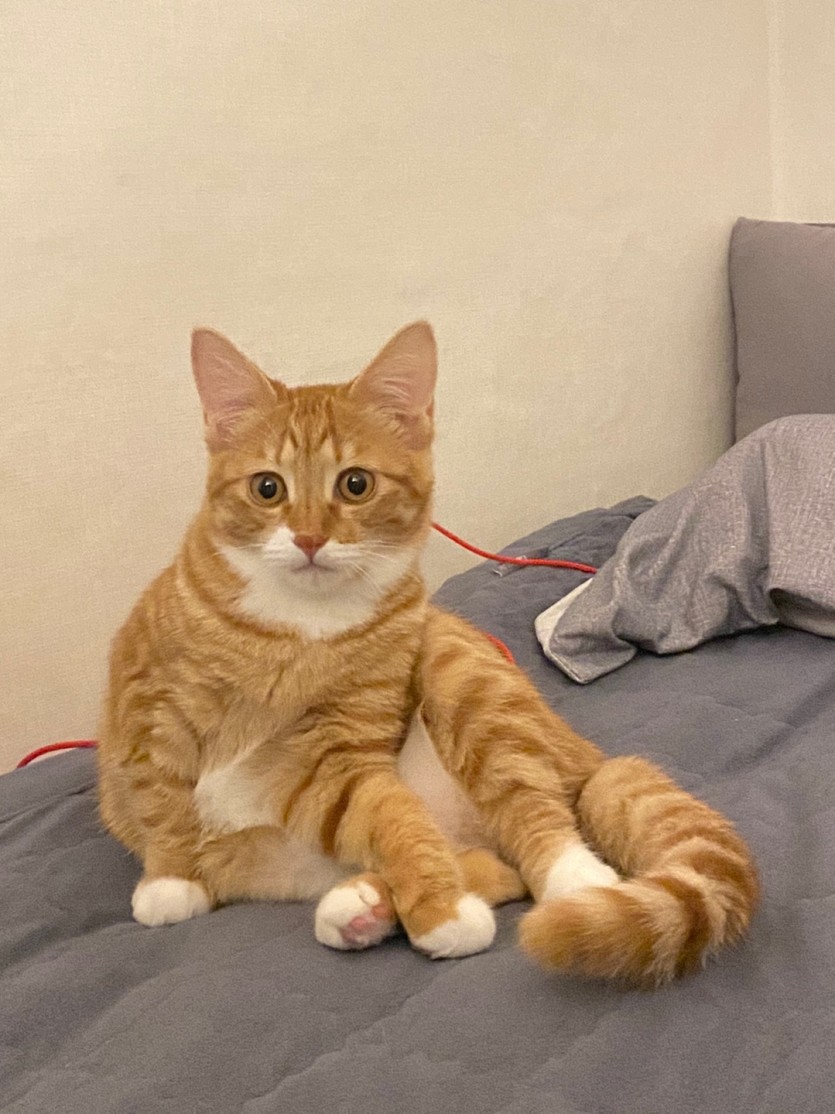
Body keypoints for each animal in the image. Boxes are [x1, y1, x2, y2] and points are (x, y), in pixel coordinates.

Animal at [97, 321, 759, 984]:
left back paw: (569, 881)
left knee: (533, 820)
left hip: (462, 674)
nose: (309, 537)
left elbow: (394, 817)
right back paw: (362, 907)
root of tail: (588, 757)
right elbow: (162, 797)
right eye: (267, 488)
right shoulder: (150, 709)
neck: (299, 629)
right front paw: (172, 877)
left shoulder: (339, 753)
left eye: (355, 484)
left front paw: (442, 911)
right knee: (493, 864)